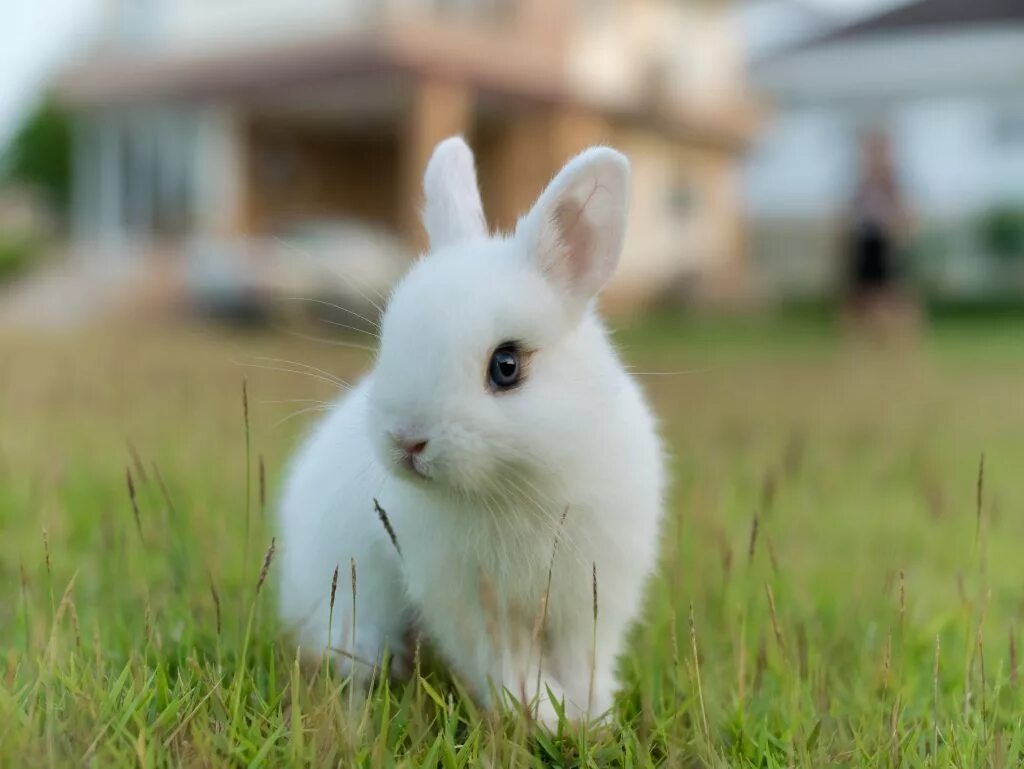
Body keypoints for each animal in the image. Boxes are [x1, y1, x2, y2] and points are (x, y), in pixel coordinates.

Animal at [280, 137, 663, 729]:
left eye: (506, 365)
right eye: (388, 340)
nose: (406, 440)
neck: (517, 487)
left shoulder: (592, 596)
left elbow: (585, 659)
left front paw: (590, 718)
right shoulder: (471, 604)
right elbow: (507, 663)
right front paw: (542, 715)